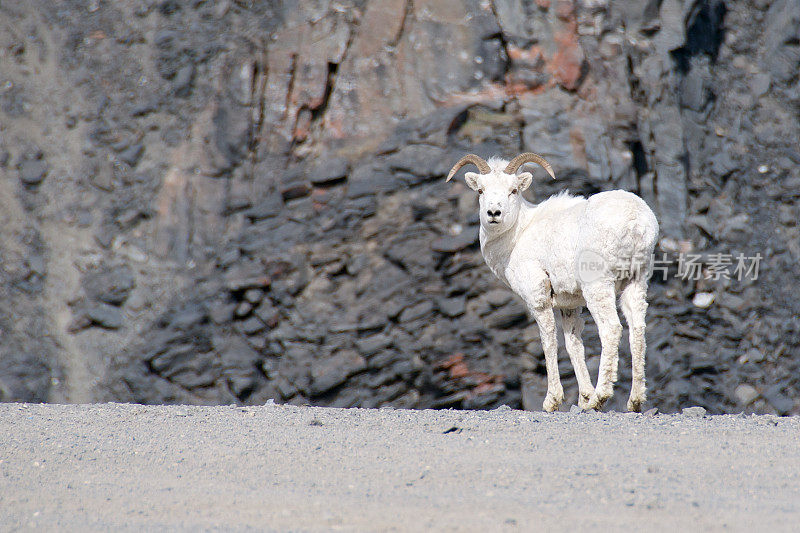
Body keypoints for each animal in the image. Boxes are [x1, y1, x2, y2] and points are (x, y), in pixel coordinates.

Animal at [446, 153, 660, 412]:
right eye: (481, 190)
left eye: (513, 190)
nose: (494, 213)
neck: (518, 236)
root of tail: (636, 221)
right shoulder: (570, 306)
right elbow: (573, 344)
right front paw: (583, 397)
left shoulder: (538, 299)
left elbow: (548, 342)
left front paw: (553, 401)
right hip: (636, 282)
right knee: (637, 329)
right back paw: (634, 401)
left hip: (598, 286)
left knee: (611, 328)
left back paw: (600, 398)